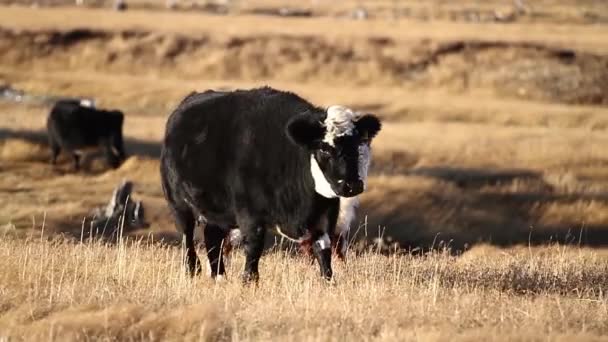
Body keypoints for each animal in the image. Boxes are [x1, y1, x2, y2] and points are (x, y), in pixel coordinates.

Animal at [159, 87, 382, 282]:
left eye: (359, 146)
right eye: (324, 148)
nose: (352, 186)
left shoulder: (325, 215)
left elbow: (323, 249)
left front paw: (328, 282)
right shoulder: (250, 215)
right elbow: (254, 248)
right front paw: (249, 282)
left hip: (218, 212)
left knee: (213, 239)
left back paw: (219, 277)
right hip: (179, 205)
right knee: (188, 239)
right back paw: (192, 271)